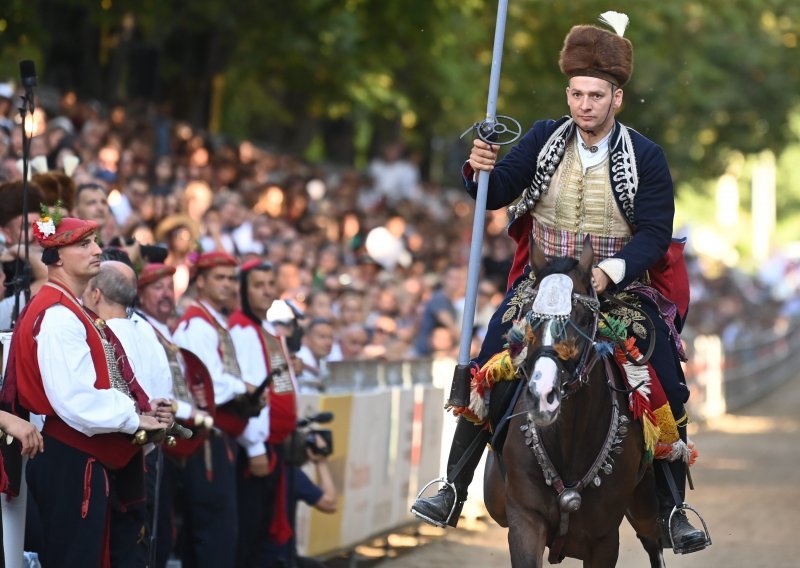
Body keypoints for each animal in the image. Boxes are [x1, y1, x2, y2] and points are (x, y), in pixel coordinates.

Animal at [484, 241, 664, 568]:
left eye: (582, 320)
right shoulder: (525, 520)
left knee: (653, 540)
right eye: (530, 319)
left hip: (645, 505)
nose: (543, 395)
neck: (570, 440)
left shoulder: (604, 539)